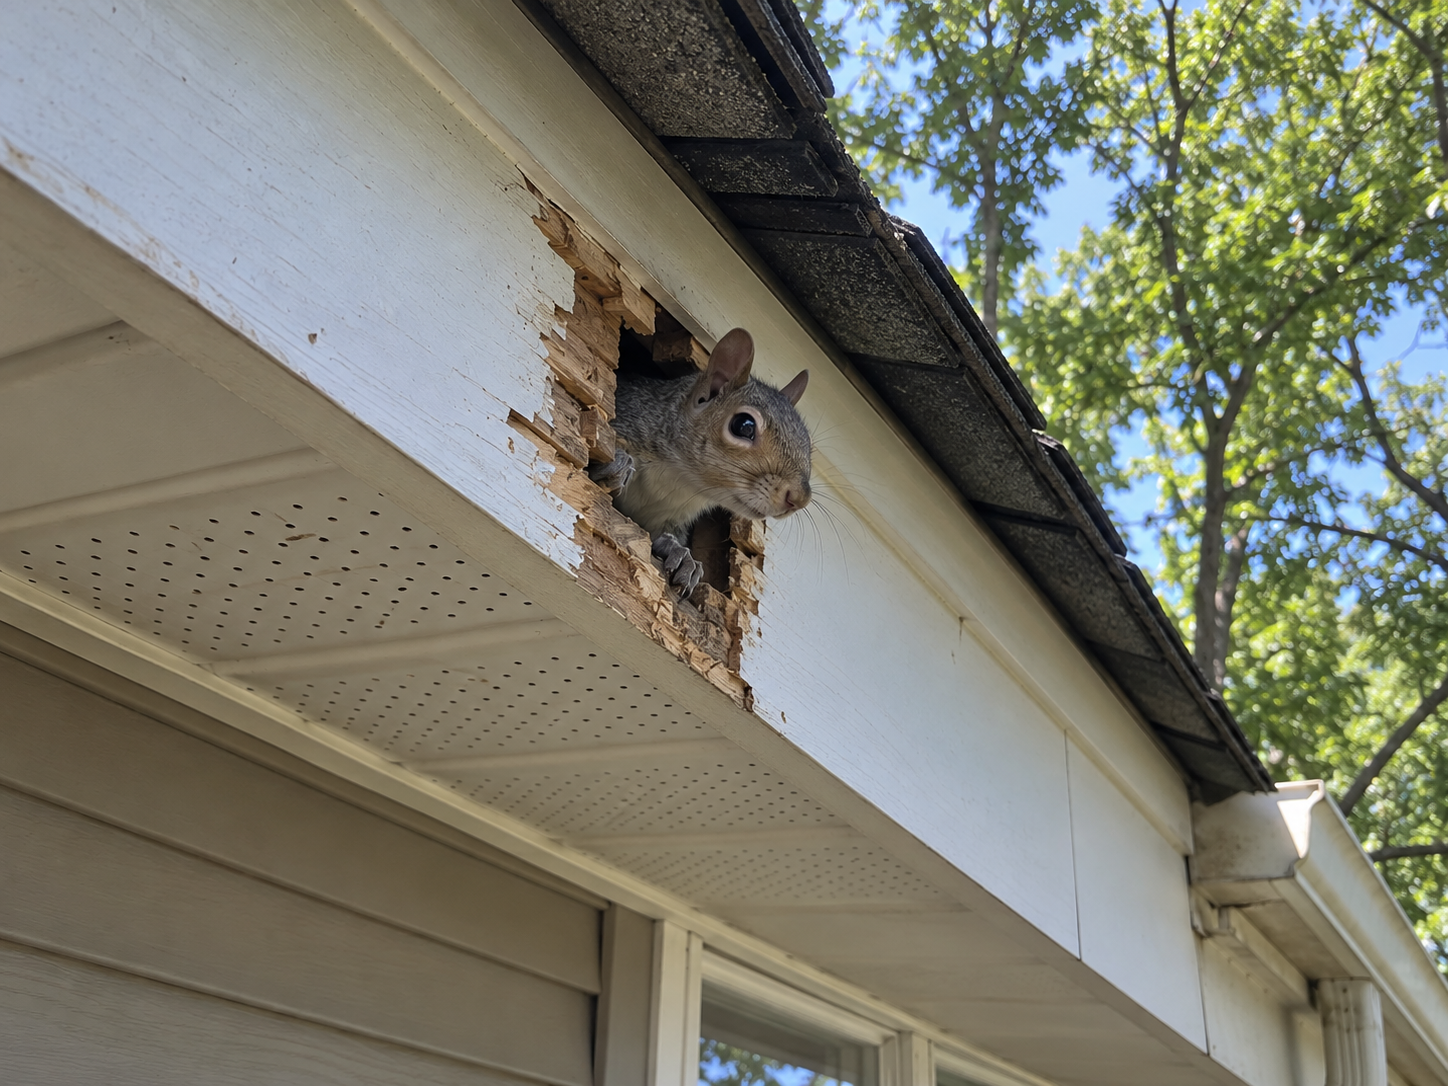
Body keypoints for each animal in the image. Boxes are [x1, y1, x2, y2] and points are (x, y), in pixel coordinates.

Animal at [590, 327, 811, 597]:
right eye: (744, 426)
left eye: (808, 442)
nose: (799, 498)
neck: (679, 481)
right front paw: (618, 464)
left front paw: (681, 555)